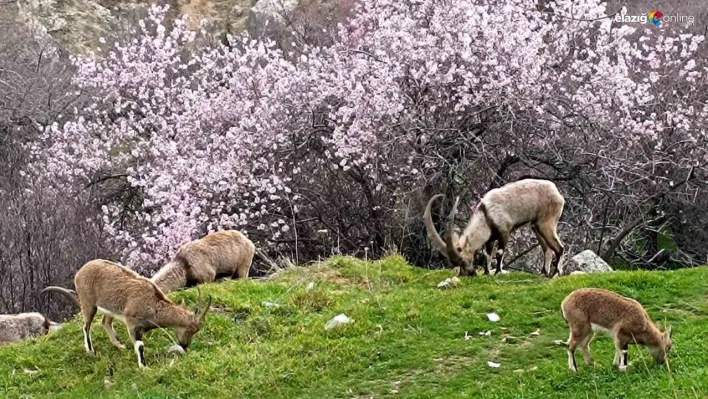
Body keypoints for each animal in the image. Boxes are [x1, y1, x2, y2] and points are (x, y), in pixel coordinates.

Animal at [42, 260, 210, 368]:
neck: (153, 304)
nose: (184, 345)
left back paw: (119, 345)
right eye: (190, 329)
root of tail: (81, 271)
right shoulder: (132, 323)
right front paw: (144, 367)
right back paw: (90, 351)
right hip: (88, 303)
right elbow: (140, 345)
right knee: (86, 326)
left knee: (105, 322)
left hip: (110, 309)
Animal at [426, 179, 564, 276]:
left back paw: (555, 274)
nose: (469, 274)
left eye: (464, 261)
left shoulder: (505, 232)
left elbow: (499, 253)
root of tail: (557, 194)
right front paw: (487, 273)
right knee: (547, 249)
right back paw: (543, 273)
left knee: (559, 248)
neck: (486, 214)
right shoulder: (491, 238)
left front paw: (498, 272)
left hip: (546, 223)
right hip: (536, 227)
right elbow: (488, 254)